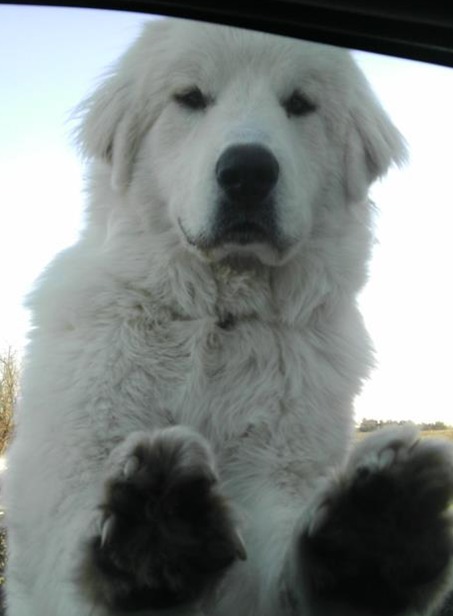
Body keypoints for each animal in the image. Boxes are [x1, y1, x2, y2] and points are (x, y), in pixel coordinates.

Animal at [4, 16, 452, 616]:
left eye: (299, 103)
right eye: (191, 98)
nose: (248, 172)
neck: (217, 320)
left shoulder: (277, 476)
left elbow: (277, 563)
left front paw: (366, 538)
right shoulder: (73, 470)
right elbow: (75, 549)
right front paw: (151, 537)